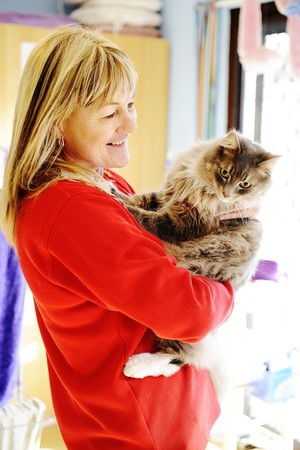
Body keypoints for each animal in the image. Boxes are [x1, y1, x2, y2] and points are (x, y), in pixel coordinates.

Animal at [112, 129, 278, 398]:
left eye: (245, 185)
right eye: (225, 173)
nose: (226, 195)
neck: (199, 183)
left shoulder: (182, 223)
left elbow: (146, 218)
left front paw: (117, 201)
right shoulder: (167, 194)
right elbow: (144, 199)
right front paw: (116, 190)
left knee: (183, 357)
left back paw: (136, 366)